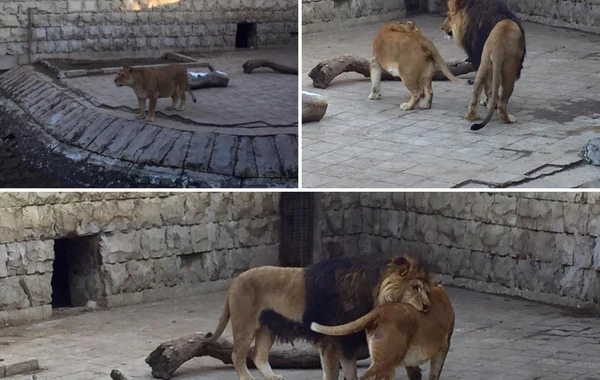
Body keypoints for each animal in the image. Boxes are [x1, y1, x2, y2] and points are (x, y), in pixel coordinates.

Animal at [206, 255, 432, 380]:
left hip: (267, 327)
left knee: (258, 355)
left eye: (426, 288)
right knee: (238, 355)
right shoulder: (330, 340)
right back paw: (247, 378)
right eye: (415, 287)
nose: (428, 306)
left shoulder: (347, 341)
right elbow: (331, 373)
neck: (371, 292)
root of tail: (235, 281)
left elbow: (351, 373)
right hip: (246, 323)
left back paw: (273, 377)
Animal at [310, 284, 454, 380]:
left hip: (388, 361)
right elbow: (435, 372)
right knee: (365, 377)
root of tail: (380, 310)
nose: (425, 306)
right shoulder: (444, 345)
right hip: (387, 359)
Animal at [440, 0, 524, 131]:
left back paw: (473, 115)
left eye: (449, 16)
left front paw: (487, 102)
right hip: (510, 70)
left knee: (478, 87)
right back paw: (507, 118)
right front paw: (489, 102)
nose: (442, 28)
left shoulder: (477, 58)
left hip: (484, 62)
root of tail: (498, 44)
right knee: (501, 102)